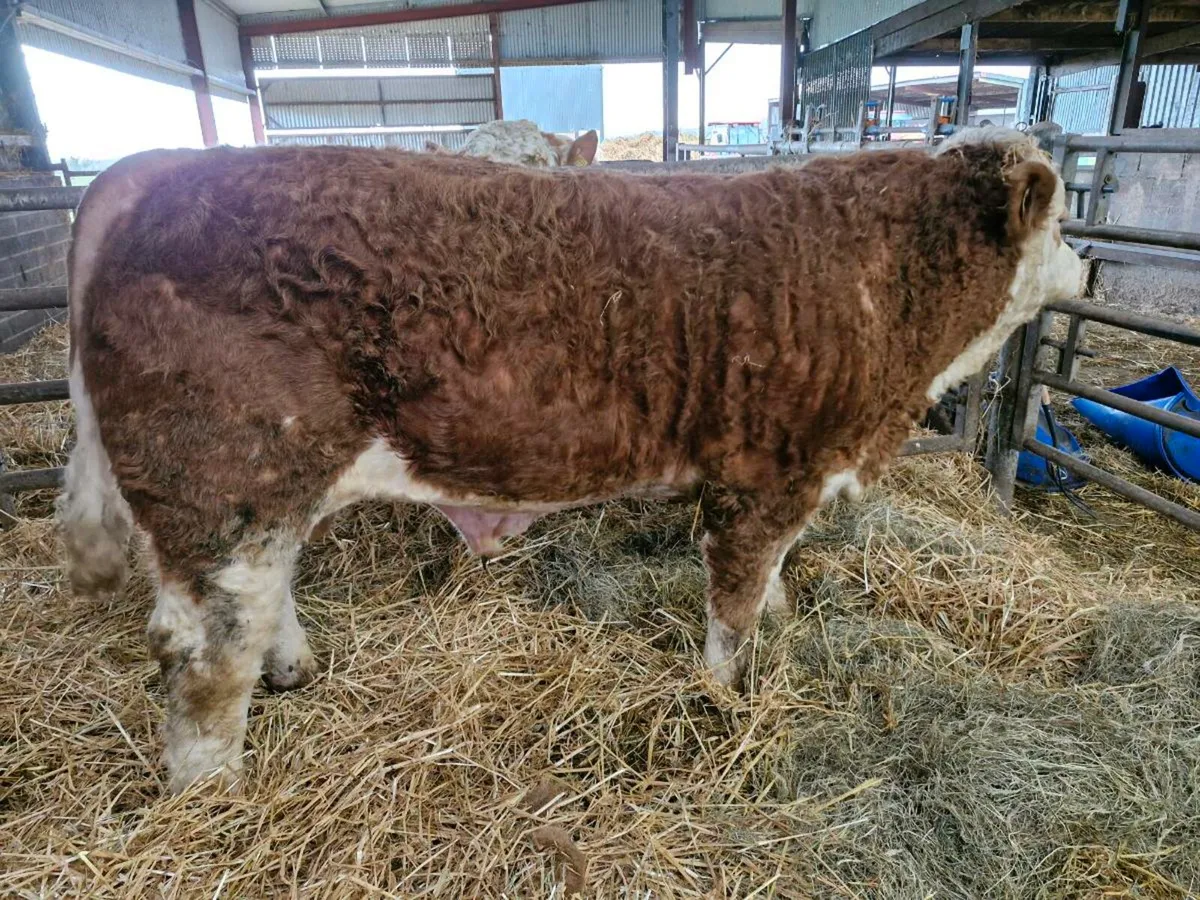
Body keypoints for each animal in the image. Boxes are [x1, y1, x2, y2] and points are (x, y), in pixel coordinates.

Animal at [57, 127, 1082, 793]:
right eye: (1065, 219)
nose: (1090, 266)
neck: (882, 282)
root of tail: (157, 173)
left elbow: (774, 580)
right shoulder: (765, 473)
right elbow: (736, 601)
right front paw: (726, 698)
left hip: (260, 495)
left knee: (261, 609)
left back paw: (293, 670)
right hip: (220, 482)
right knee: (204, 663)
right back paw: (213, 800)